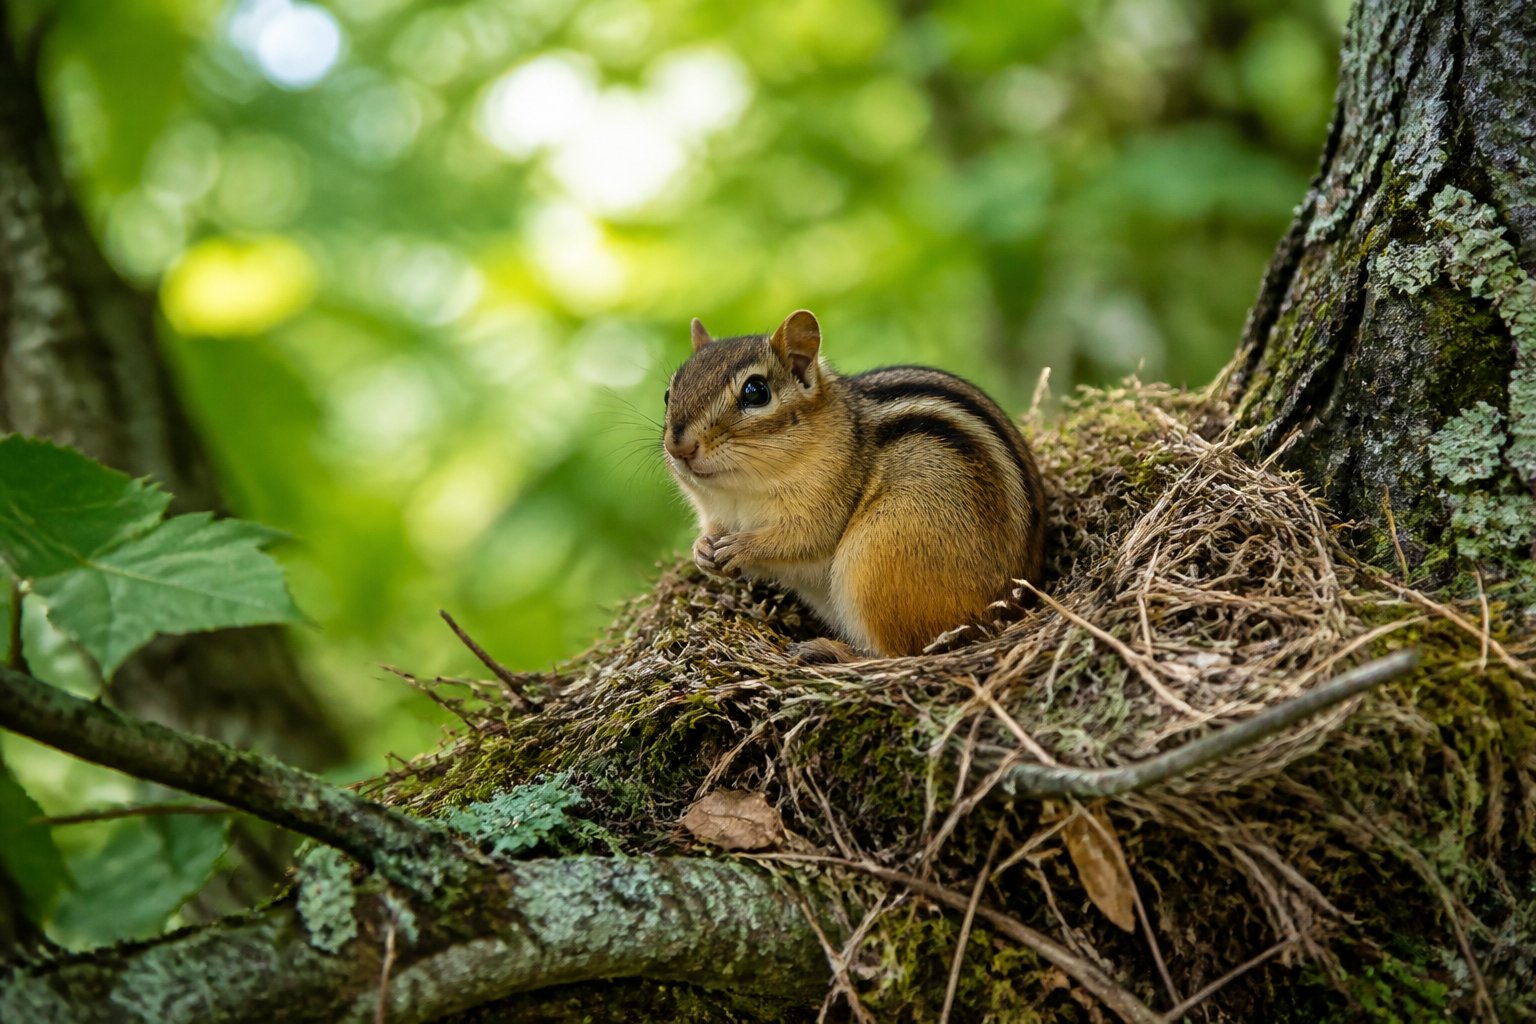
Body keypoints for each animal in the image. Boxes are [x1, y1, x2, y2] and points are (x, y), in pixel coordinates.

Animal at [663, 309, 1046, 662]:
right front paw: (702, 550)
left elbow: (803, 538)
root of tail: (1013, 604)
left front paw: (741, 547)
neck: (738, 493)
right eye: (669, 393)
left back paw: (831, 652)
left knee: (898, 653)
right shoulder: (716, 513)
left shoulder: (827, 501)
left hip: (879, 553)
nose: (679, 447)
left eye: (756, 392)